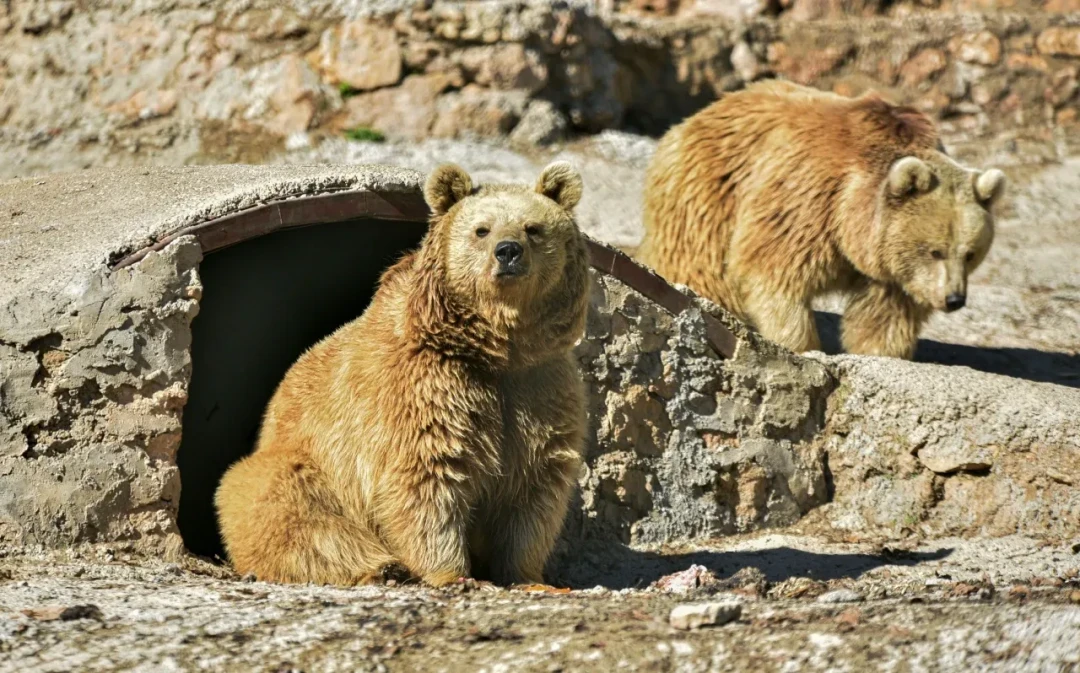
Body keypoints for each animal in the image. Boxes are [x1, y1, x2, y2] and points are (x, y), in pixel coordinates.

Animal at [213, 160, 591, 587]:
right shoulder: (425, 386)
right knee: (289, 507)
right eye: (482, 229)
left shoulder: (539, 385)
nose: (508, 251)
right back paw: (381, 567)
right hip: (299, 461)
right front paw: (451, 572)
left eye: (533, 227)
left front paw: (530, 575)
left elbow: (535, 486)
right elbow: (425, 476)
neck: (497, 349)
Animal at [635, 79, 1006, 360]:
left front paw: (880, 354)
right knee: (699, 264)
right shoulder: (810, 203)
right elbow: (774, 275)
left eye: (970, 254)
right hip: (711, 191)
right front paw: (803, 347)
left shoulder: (891, 269)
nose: (954, 299)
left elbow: (884, 315)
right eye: (934, 250)